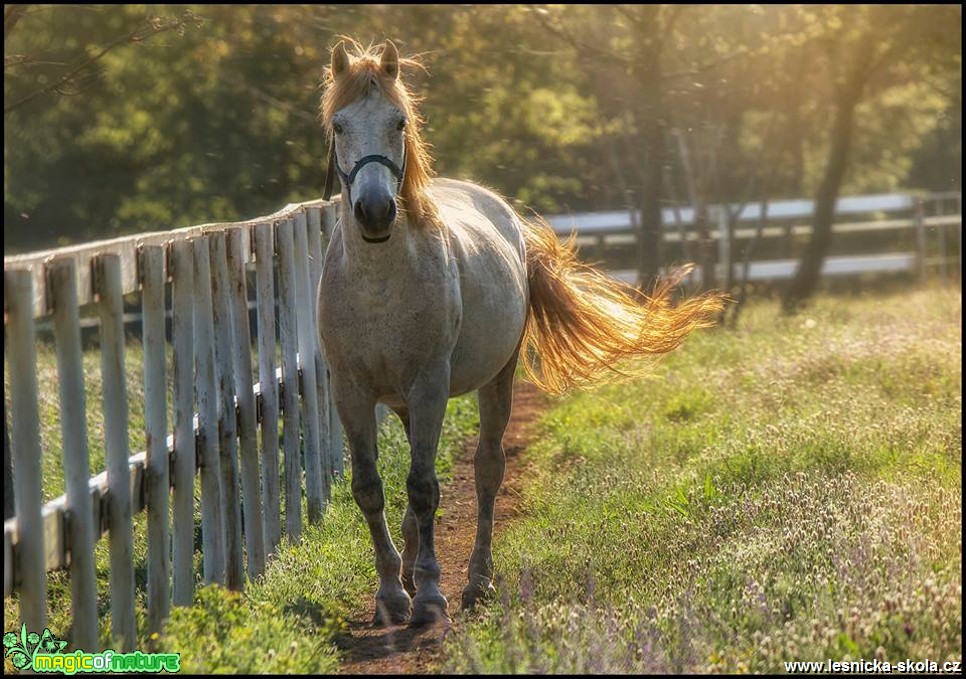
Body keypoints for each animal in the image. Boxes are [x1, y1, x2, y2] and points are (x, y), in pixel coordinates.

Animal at [318, 38, 728, 628]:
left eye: (399, 122)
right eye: (339, 125)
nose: (374, 212)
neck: (378, 282)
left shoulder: (429, 384)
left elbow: (424, 487)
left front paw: (429, 595)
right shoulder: (350, 390)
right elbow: (370, 489)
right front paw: (392, 595)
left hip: (495, 380)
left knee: (487, 469)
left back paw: (476, 581)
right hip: (405, 399)